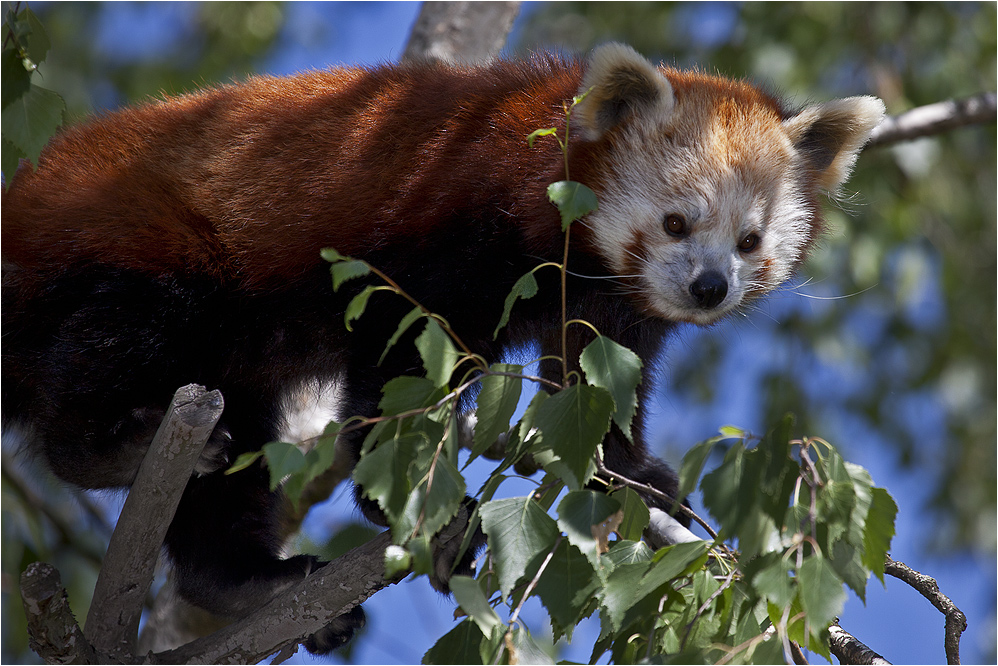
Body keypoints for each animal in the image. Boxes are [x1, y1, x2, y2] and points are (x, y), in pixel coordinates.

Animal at [3, 44, 888, 652]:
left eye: (749, 242)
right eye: (676, 222)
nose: (709, 286)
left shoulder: (605, 305)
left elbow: (593, 381)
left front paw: (631, 472)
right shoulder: (446, 228)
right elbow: (402, 356)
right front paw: (409, 495)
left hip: (231, 367)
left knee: (232, 464)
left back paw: (252, 578)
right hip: (143, 250)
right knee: (115, 341)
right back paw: (110, 446)